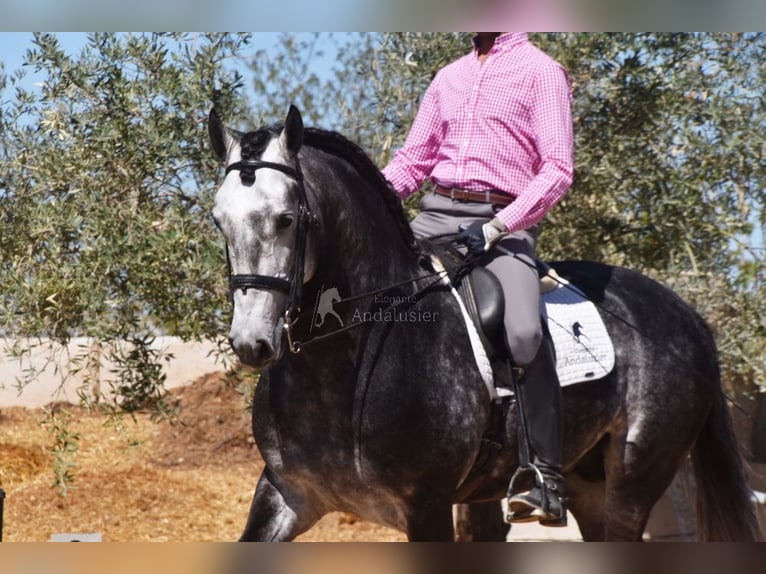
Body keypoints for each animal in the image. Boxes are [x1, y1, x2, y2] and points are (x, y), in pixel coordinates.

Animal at [208, 107, 760, 544]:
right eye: (219, 220)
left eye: (285, 219)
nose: (252, 343)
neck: (343, 365)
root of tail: (687, 315)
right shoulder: (285, 493)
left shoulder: (426, 506)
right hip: (590, 485)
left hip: (635, 478)